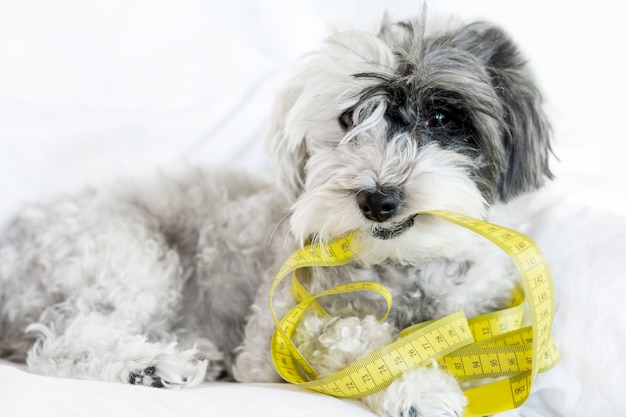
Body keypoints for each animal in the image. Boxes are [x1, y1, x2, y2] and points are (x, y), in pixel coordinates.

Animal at [0, 13, 548, 416]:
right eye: (349, 118)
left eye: (439, 116)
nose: (377, 200)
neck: (403, 266)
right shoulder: (277, 339)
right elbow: (358, 337)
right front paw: (416, 386)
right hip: (130, 259)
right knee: (65, 340)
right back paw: (150, 364)